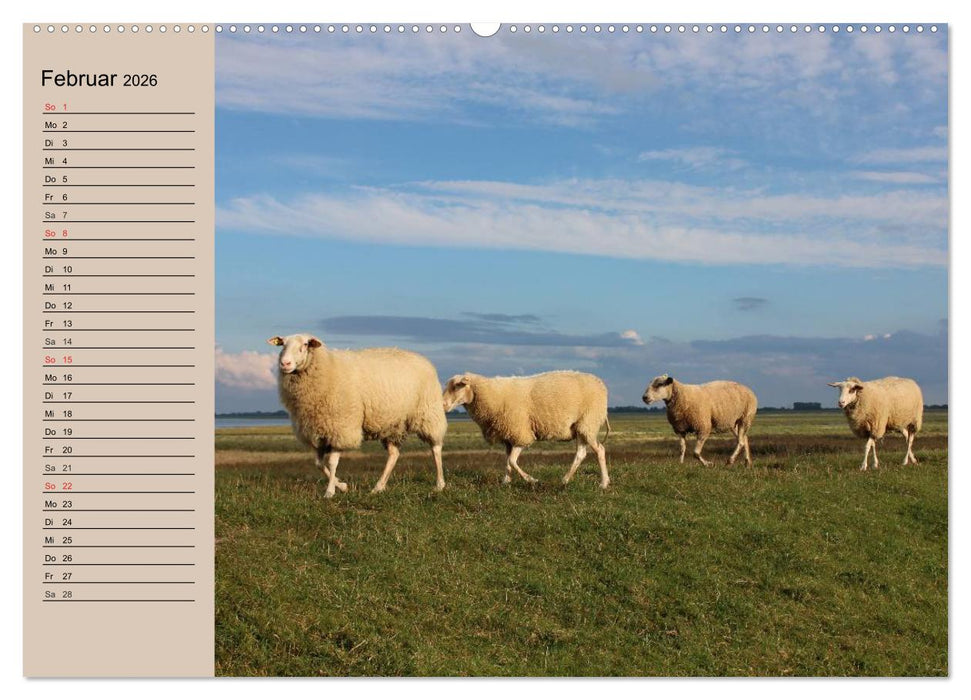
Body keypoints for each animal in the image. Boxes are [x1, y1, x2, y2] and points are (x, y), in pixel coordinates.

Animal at [268, 333, 448, 497]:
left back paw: (439, 484)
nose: (285, 363)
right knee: (394, 454)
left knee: (435, 448)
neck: (327, 367)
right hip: (393, 424)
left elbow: (332, 462)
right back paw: (378, 487)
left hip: (428, 414)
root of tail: (423, 359)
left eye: (305, 345)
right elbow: (318, 463)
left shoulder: (340, 428)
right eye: (282, 344)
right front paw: (342, 486)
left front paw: (330, 491)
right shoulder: (318, 432)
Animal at [441, 371, 611, 488]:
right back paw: (565, 480)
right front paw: (506, 481)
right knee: (581, 454)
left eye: (457, 386)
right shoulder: (508, 437)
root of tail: (600, 384)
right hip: (581, 428)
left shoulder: (521, 434)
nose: (442, 405)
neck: (493, 395)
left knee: (600, 450)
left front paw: (531, 480)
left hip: (588, 422)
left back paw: (603, 483)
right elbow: (507, 461)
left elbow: (512, 460)